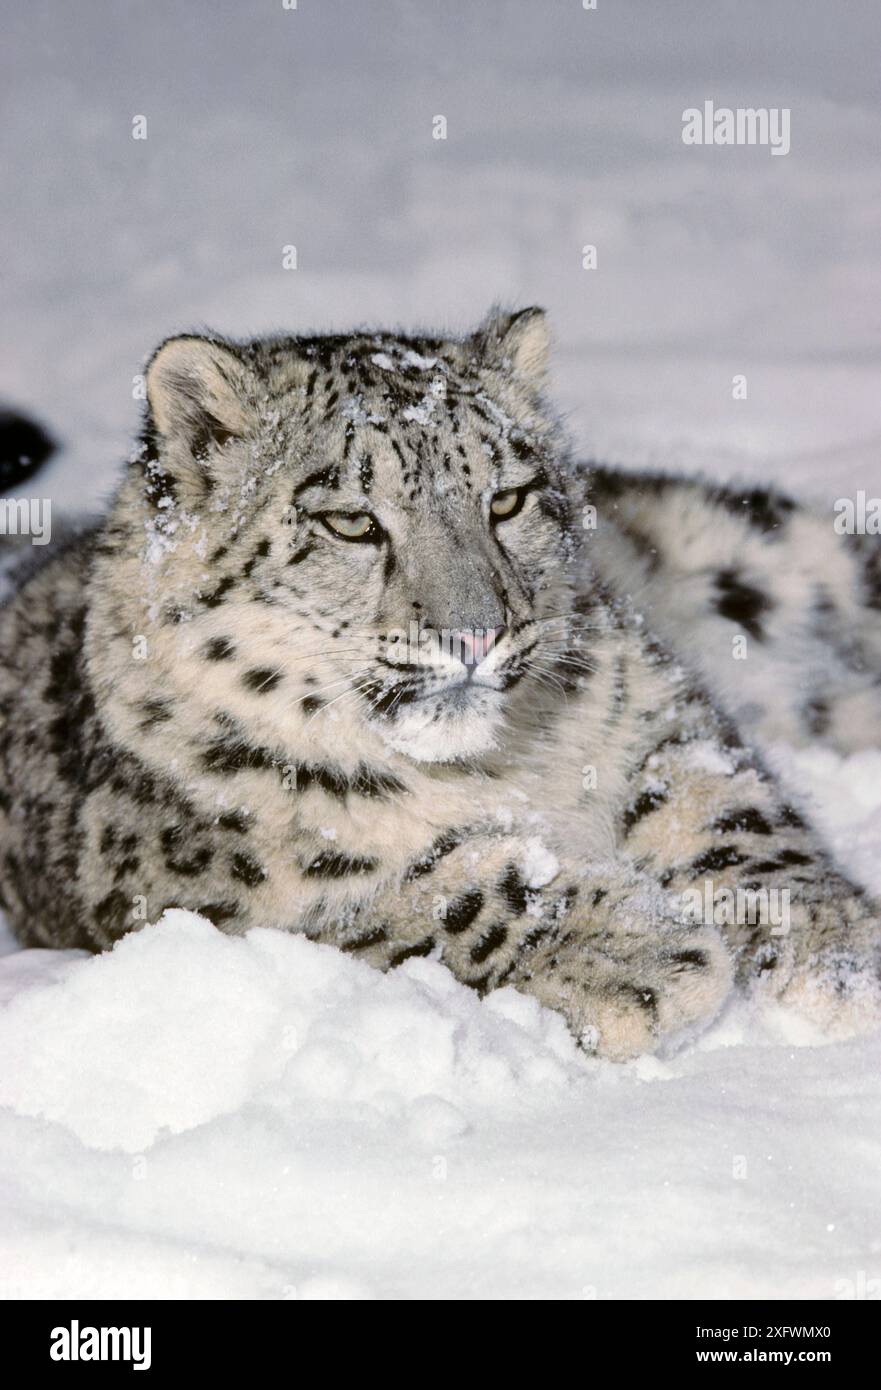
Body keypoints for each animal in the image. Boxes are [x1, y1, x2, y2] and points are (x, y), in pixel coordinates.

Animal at [1, 306, 880, 1060]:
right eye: (351, 521)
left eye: (508, 498)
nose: (476, 632)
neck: (491, 770)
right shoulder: (207, 885)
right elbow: (414, 898)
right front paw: (644, 952)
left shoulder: (656, 715)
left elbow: (737, 820)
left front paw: (845, 964)